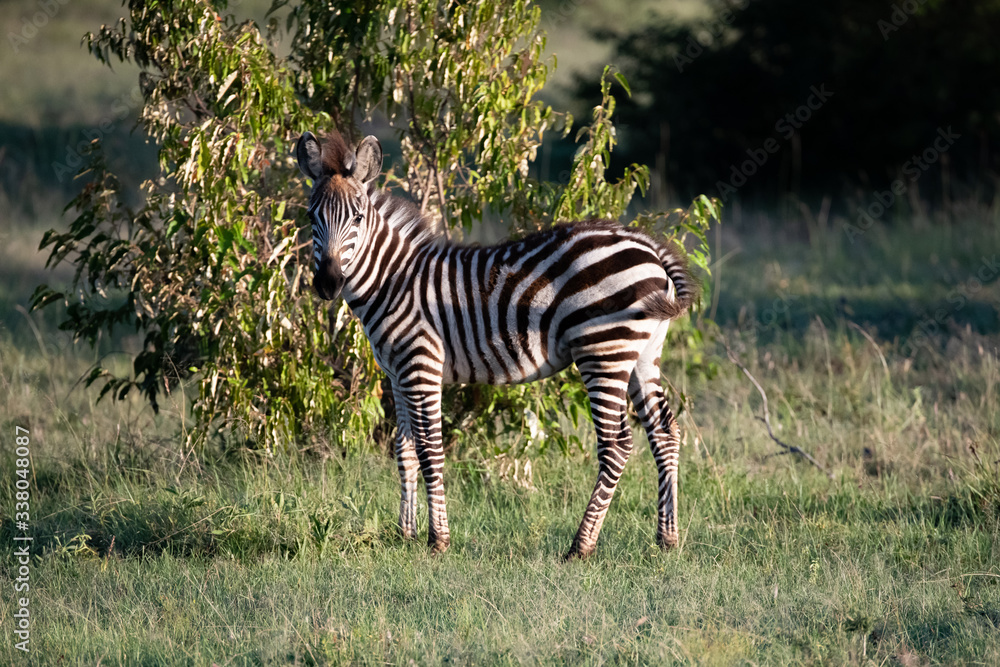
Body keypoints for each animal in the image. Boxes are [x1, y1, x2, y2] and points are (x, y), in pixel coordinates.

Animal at [296, 130, 697, 559]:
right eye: (311, 218)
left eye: (357, 218)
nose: (328, 284)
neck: (394, 280)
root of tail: (650, 249)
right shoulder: (396, 373)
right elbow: (403, 450)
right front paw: (406, 533)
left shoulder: (421, 365)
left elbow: (429, 449)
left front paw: (438, 539)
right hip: (643, 355)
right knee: (665, 434)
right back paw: (667, 538)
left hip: (603, 351)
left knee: (616, 446)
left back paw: (581, 546)